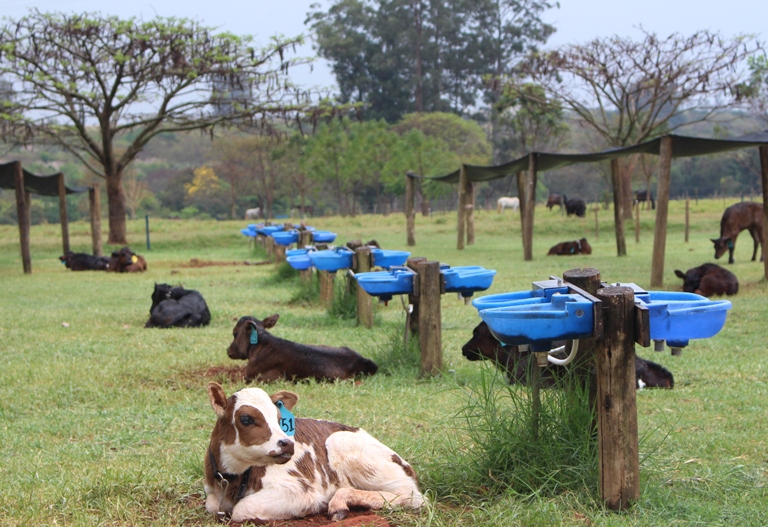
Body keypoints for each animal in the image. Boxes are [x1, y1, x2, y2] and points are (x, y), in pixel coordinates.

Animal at [202, 382, 426, 520]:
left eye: (279, 418)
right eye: (246, 418)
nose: (287, 444)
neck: (232, 479)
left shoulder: (299, 490)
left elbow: (242, 509)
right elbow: (211, 505)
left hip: (343, 443)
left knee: (413, 495)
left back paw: (339, 502)